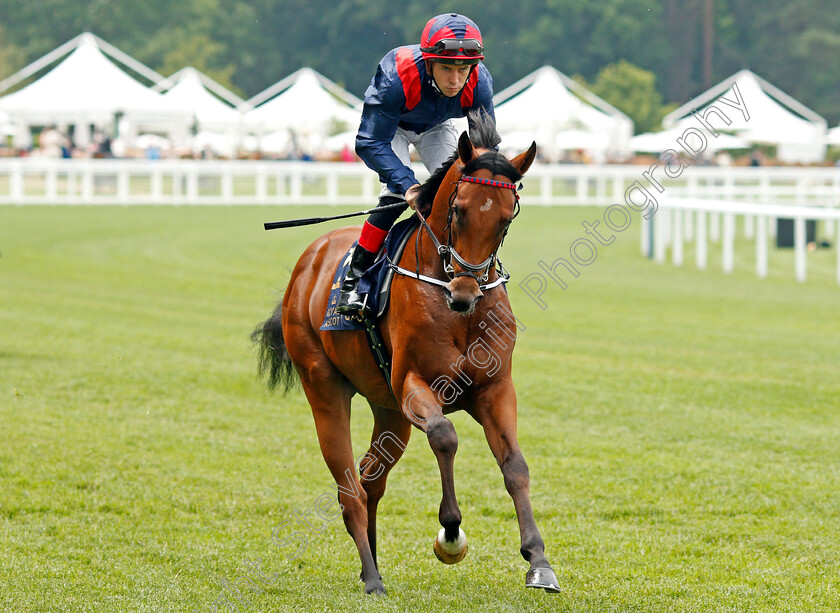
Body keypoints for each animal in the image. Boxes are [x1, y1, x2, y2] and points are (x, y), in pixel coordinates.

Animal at [253, 112, 560, 596]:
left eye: (506, 218)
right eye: (458, 209)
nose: (464, 294)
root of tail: (309, 259)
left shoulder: (494, 388)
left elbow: (515, 465)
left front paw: (539, 561)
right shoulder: (414, 384)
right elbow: (445, 437)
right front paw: (450, 534)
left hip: (388, 410)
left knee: (369, 477)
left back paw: (373, 562)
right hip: (324, 387)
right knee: (349, 487)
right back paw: (372, 576)